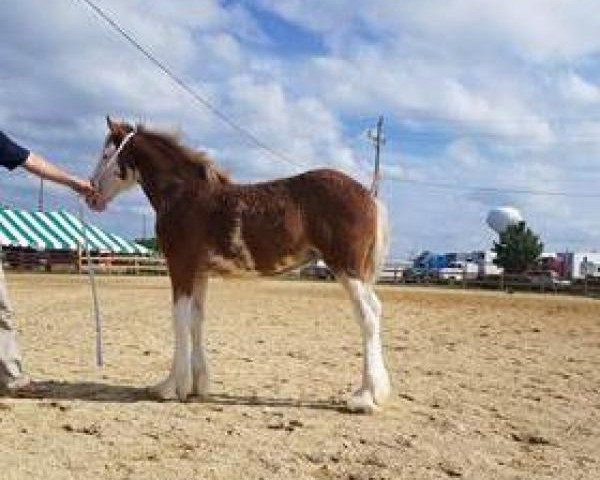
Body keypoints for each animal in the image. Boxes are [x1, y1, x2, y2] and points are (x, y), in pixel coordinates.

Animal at [86, 117, 392, 412]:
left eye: (107, 154)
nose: (91, 194)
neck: (185, 195)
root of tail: (368, 196)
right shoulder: (200, 273)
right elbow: (196, 320)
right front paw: (197, 385)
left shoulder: (180, 266)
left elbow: (179, 320)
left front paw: (170, 387)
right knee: (375, 311)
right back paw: (376, 391)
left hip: (346, 268)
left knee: (367, 317)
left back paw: (364, 398)